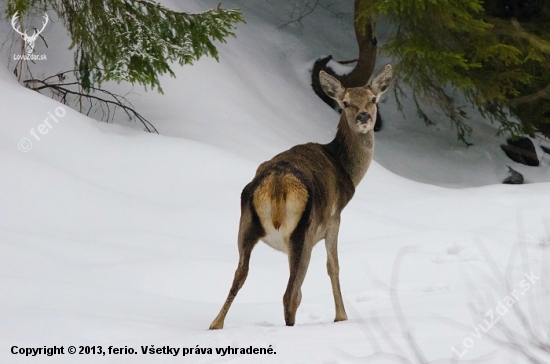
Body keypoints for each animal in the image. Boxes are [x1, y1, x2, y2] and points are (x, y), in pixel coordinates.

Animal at [209, 64, 394, 328]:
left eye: (373, 99)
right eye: (346, 103)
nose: (363, 117)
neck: (346, 169)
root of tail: (277, 186)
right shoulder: (335, 217)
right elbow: (333, 266)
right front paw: (341, 317)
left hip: (246, 226)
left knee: (239, 276)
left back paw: (216, 324)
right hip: (303, 232)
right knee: (290, 294)